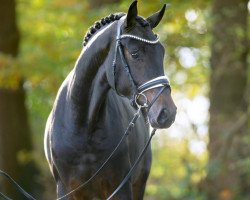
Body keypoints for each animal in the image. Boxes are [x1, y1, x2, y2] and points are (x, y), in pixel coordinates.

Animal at [44, 1, 176, 198]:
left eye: (162, 52)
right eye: (135, 53)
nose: (167, 113)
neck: (83, 124)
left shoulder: (120, 187)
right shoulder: (66, 190)